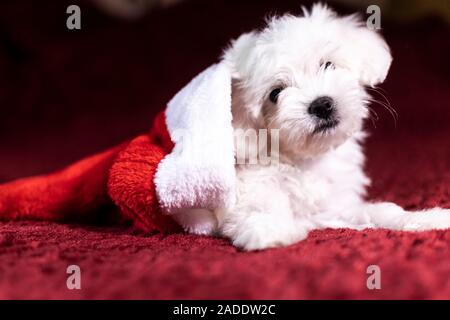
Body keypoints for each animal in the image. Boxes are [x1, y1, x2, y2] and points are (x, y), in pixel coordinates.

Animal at [172, 3, 450, 251]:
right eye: (275, 94)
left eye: (327, 64)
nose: (322, 105)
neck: (305, 160)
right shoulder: (244, 190)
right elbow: (257, 206)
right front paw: (270, 228)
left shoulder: (336, 206)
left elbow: (382, 211)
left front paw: (426, 218)